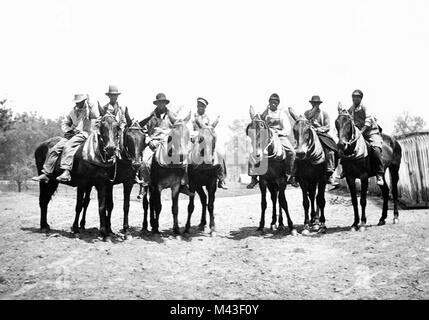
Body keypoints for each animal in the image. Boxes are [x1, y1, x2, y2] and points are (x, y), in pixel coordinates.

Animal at [32, 104, 120, 239]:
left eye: (117, 126)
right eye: (102, 126)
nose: (110, 148)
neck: (93, 155)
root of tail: (41, 146)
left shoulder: (102, 184)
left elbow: (101, 206)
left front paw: (104, 232)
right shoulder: (82, 184)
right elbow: (79, 205)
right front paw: (75, 228)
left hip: (53, 182)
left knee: (45, 200)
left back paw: (45, 225)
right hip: (45, 181)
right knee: (42, 200)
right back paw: (43, 226)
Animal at [71, 107, 146, 238]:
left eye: (144, 138)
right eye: (128, 137)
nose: (136, 164)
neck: (122, 159)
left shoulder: (128, 182)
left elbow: (125, 206)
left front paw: (125, 230)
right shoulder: (108, 183)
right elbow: (108, 205)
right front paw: (107, 228)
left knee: (86, 202)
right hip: (87, 184)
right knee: (84, 202)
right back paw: (79, 225)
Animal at [246, 107, 296, 235]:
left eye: (263, 127)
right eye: (249, 131)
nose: (257, 155)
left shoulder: (281, 180)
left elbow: (283, 202)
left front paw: (291, 226)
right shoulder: (264, 182)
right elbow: (264, 203)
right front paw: (261, 225)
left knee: (279, 199)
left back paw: (281, 224)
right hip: (271, 184)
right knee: (274, 199)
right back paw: (274, 223)